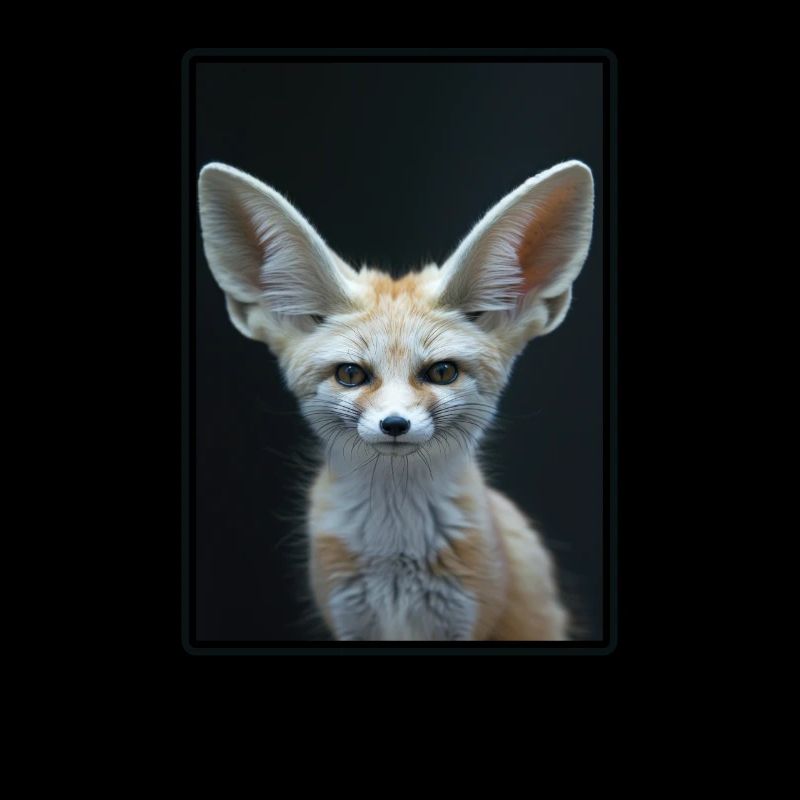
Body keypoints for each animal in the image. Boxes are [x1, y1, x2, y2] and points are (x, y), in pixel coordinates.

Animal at [198, 159, 594, 641]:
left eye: (442, 372)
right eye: (351, 374)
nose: (394, 425)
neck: (395, 553)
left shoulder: (464, 619)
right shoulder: (350, 618)